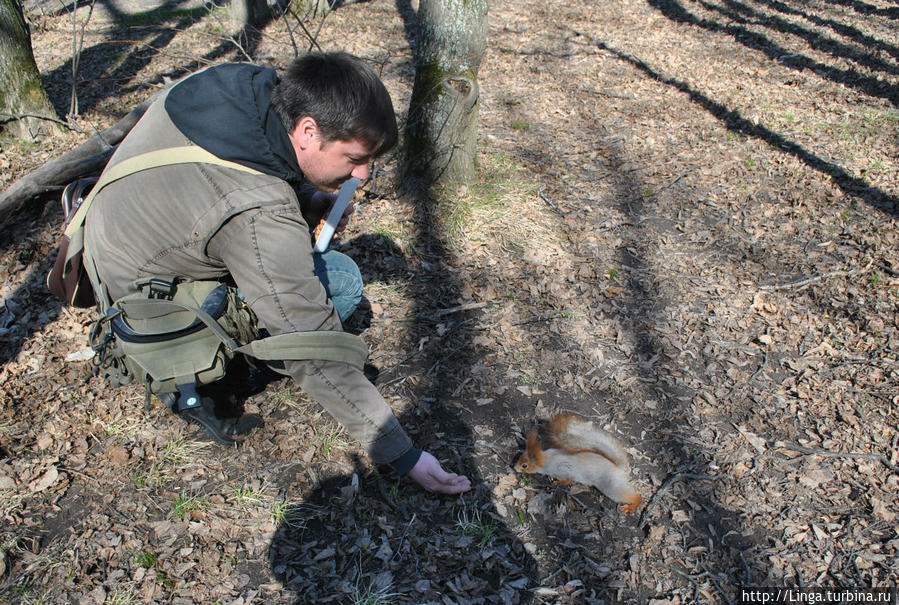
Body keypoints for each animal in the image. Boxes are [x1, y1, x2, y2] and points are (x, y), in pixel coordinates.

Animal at [510, 410, 644, 510]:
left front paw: (556, 483)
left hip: (612, 486)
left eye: (525, 465)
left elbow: (566, 481)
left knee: (637, 496)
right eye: (519, 457)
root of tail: (619, 468)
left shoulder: (564, 470)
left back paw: (632, 507)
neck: (548, 460)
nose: (514, 467)